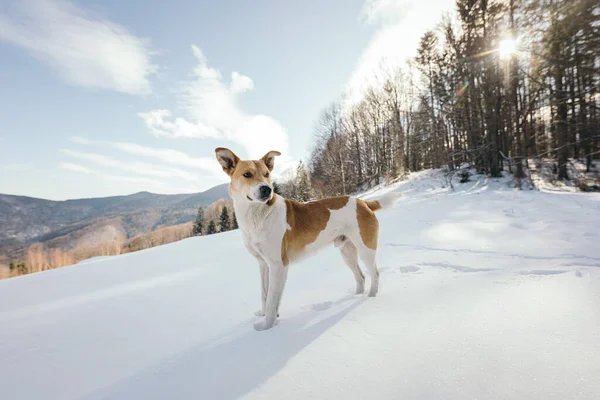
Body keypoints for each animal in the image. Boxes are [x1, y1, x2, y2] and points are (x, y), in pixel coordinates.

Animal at [213, 148, 400, 330]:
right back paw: (354, 296)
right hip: (347, 253)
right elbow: (265, 295)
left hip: (365, 249)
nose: (267, 189)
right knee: (360, 277)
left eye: (266, 174)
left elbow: (272, 298)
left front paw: (266, 327)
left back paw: (371, 297)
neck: (257, 214)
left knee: (375, 273)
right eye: (247, 174)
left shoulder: (278, 265)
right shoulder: (263, 264)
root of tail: (364, 203)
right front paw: (265, 315)